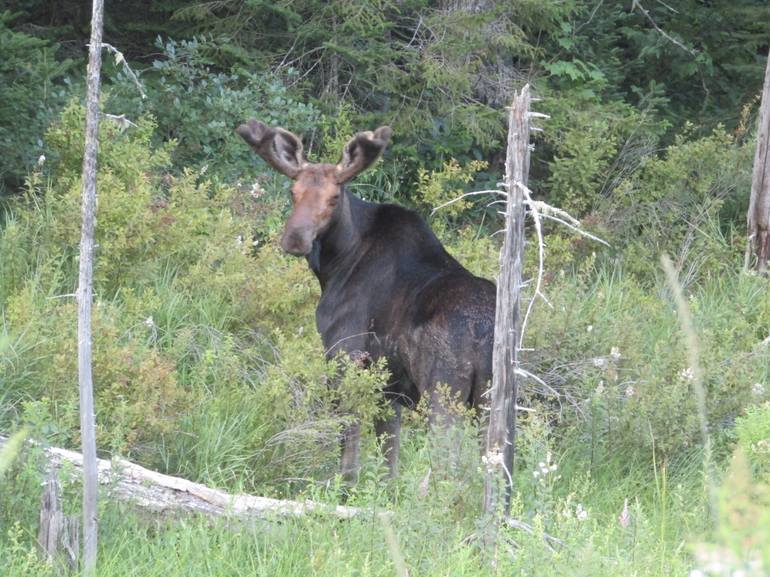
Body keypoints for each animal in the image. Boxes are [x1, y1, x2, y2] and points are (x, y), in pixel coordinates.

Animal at [237, 119, 496, 480]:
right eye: (293, 192)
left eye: (334, 198)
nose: (295, 239)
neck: (335, 264)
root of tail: (482, 330)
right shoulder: (391, 389)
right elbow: (389, 458)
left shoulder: (344, 352)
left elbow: (348, 440)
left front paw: (342, 485)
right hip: (493, 396)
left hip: (443, 390)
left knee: (449, 462)